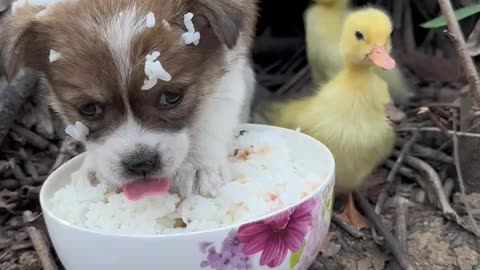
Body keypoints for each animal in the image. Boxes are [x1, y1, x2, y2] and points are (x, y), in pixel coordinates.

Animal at [1, 0, 258, 198]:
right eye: (89, 109)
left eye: (171, 97)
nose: (141, 163)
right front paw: (94, 168)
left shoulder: (227, 65)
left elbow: (212, 113)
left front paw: (197, 165)